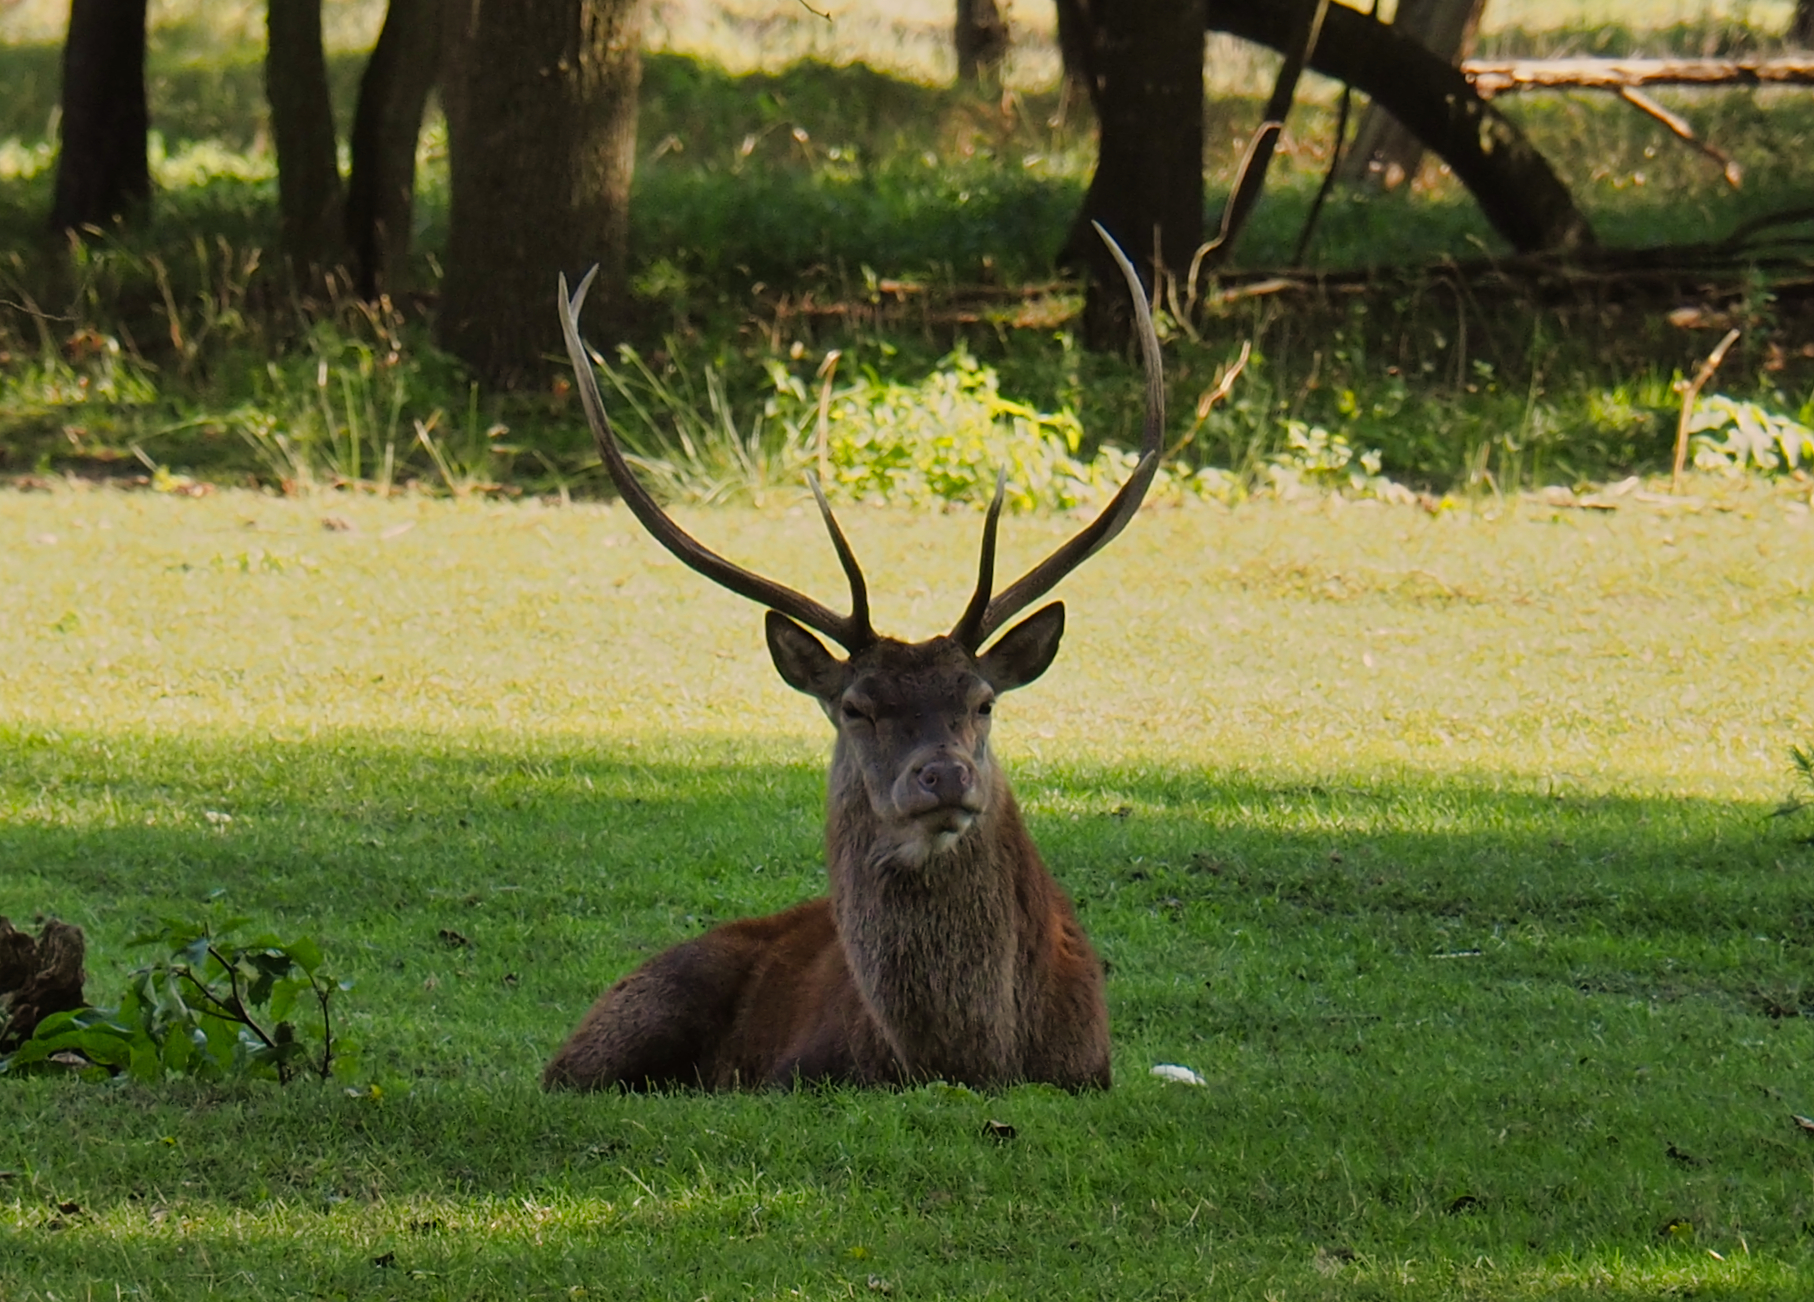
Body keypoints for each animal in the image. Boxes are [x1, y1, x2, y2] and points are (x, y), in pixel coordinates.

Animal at [543, 226, 1163, 1093]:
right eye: (856, 706)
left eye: (983, 702)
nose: (944, 776)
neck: (969, 1058)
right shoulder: (793, 1072)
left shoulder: (1091, 1073)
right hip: (628, 1019)